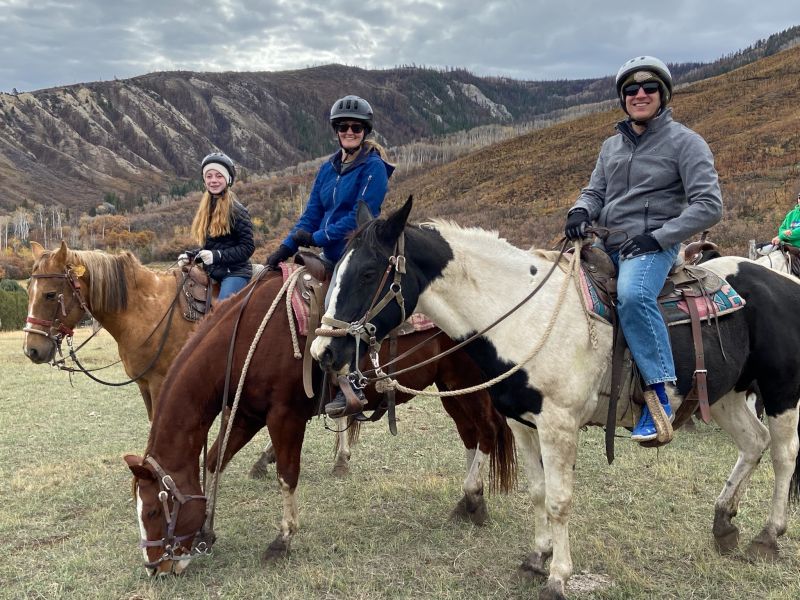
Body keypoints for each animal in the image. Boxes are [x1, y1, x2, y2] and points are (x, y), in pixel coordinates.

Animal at [122, 270, 516, 576]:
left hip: (467, 380)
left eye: (154, 509)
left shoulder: (285, 416)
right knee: (470, 434)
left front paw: (282, 540)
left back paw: (473, 497)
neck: (251, 335)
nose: (155, 568)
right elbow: (216, 459)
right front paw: (206, 532)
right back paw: (468, 503)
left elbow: (287, 475)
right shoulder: (247, 415)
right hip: (449, 384)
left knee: (486, 431)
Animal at [312, 199, 800, 600]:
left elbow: (561, 499)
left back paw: (768, 536)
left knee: (782, 454)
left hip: (780, 391)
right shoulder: (522, 423)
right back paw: (724, 522)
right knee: (753, 443)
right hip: (725, 394)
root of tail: (783, 280)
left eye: (368, 273)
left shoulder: (559, 426)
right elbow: (537, 492)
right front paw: (536, 558)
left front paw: (558, 577)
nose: (323, 351)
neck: (526, 316)